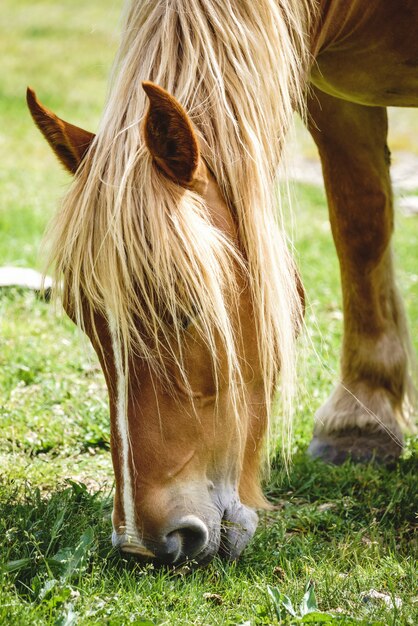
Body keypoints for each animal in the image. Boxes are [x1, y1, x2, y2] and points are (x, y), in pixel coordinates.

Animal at [27, 0, 416, 564]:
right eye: (85, 321)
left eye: (187, 311)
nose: (144, 544)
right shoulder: (330, 97)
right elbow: (360, 219)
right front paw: (362, 420)